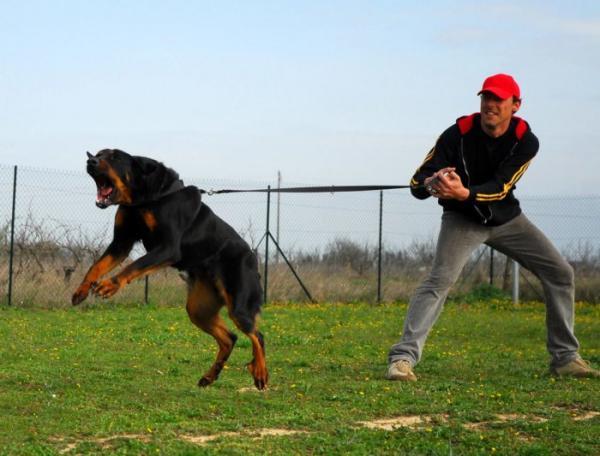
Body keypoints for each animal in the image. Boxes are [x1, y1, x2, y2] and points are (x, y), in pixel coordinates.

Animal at [71, 149, 268, 388]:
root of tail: (253, 257)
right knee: (230, 338)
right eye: (99, 154)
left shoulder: (168, 247)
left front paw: (110, 285)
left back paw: (260, 373)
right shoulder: (121, 243)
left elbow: (135, 265)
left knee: (257, 336)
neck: (144, 200)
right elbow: (96, 266)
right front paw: (81, 290)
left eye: (115, 157)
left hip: (239, 303)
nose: (90, 161)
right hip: (198, 308)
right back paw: (210, 376)